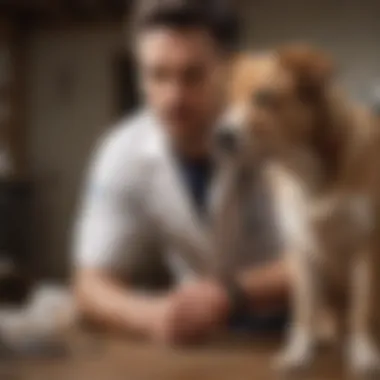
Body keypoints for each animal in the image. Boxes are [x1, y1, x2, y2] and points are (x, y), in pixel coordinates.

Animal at [214, 46, 380, 376]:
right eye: (228, 99)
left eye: (264, 97)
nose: (221, 135)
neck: (308, 170)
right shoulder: (301, 251)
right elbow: (303, 309)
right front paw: (298, 352)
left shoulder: (367, 247)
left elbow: (363, 308)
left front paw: (364, 353)